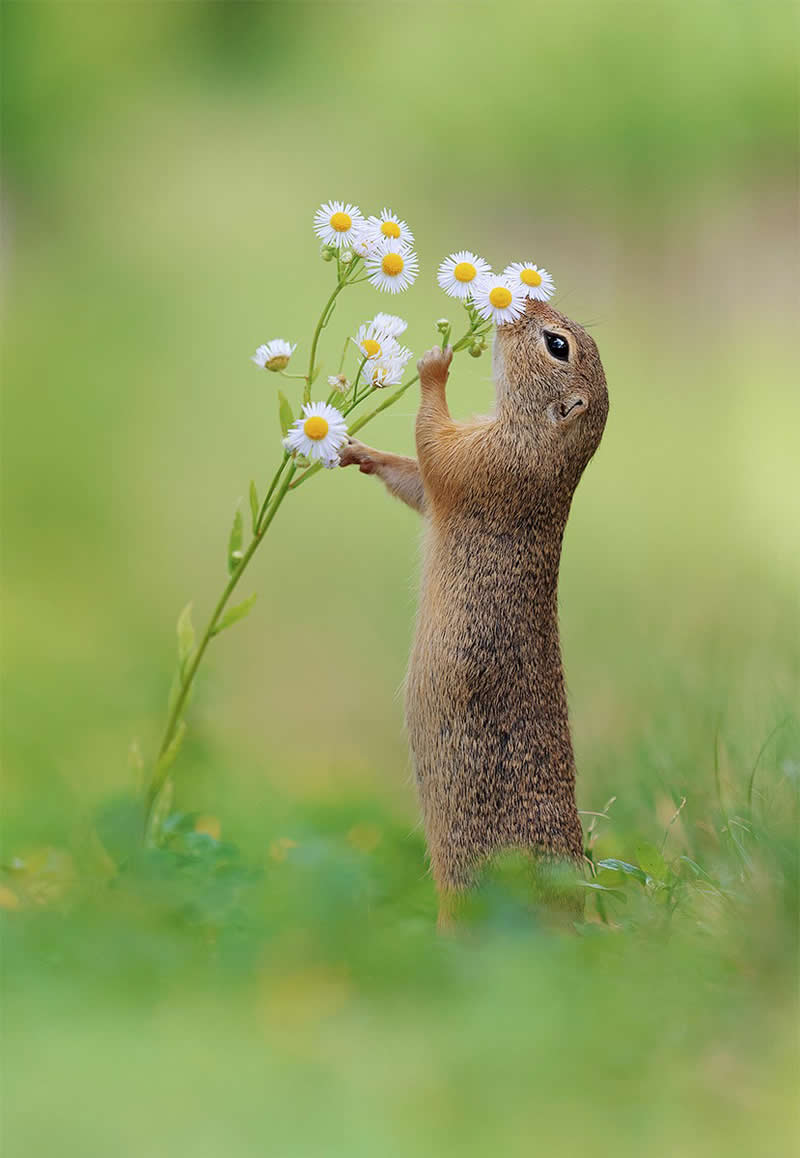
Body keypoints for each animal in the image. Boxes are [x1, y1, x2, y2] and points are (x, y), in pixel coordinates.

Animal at [340, 298, 609, 923]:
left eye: (557, 345)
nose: (524, 298)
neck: (545, 440)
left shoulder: (486, 460)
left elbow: (434, 446)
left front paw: (435, 363)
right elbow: (415, 478)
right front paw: (357, 451)